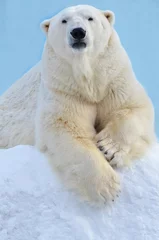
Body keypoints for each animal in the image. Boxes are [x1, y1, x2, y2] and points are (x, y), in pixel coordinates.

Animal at [0, 5, 157, 202]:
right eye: (64, 20)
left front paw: (108, 148)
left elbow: (131, 107)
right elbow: (66, 127)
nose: (78, 32)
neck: (88, 82)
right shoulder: (63, 89)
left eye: (90, 18)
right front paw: (108, 187)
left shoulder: (114, 79)